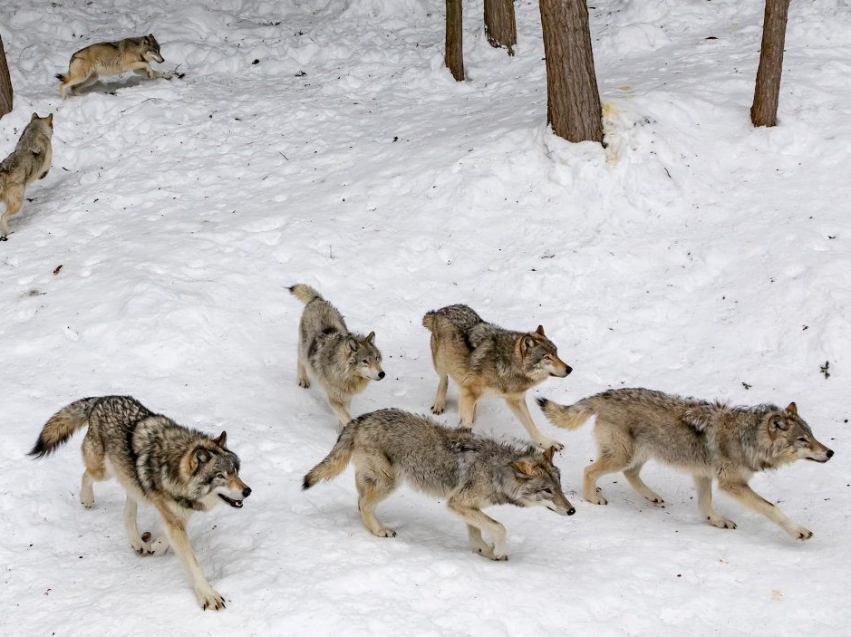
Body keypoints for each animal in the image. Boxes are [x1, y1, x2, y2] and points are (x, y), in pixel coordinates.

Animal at [27, 396, 253, 608]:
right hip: (104, 472)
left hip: (130, 480)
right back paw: (87, 499)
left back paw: (138, 542)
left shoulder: (178, 515)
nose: (247, 491)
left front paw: (157, 545)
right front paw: (208, 596)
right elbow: (192, 562)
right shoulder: (174, 519)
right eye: (221, 476)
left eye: (236, 471)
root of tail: (101, 399)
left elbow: (167, 538)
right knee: (86, 475)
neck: (174, 470)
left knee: (128, 511)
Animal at [292, 284, 386, 428]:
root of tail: (318, 300)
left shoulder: (347, 398)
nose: (382, 374)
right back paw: (303, 379)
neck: (345, 376)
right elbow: (347, 417)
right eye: (365, 361)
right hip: (304, 351)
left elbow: (344, 418)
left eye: (376, 358)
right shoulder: (335, 401)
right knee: (300, 359)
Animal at [302, 410, 576, 560]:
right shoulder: (457, 503)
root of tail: (361, 418)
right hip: (389, 483)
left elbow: (478, 532)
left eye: (560, 487)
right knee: (363, 504)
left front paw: (485, 552)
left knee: (360, 502)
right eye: (547, 491)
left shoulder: (467, 507)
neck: (495, 470)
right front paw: (497, 551)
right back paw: (380, 531)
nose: (572, 510)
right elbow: (500, 528)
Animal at [422, 304, 568, 448]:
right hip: (440, 365)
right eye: (547, 358)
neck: (506, 365)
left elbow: (532, 427)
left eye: (556, 353)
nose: (569, 369)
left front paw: (547, 443)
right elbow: (466, 421)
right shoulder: (469, 391)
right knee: (444, 379)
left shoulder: (516, 400)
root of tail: (440, 310)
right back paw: (439, 404)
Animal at [540, 386, 832, 540]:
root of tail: (606, 394)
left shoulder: (703, 475)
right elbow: (772, 508)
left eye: (813, 435)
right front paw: (799, 531)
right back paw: (593, 498)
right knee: (589, 470)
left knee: (630, 474)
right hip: (622, 456)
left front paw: (716, 521)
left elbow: (705, 505)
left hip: (641, 455)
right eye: (803, 440)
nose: (830, 453)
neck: (748, 438)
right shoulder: (731, 484)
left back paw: (652, 496)